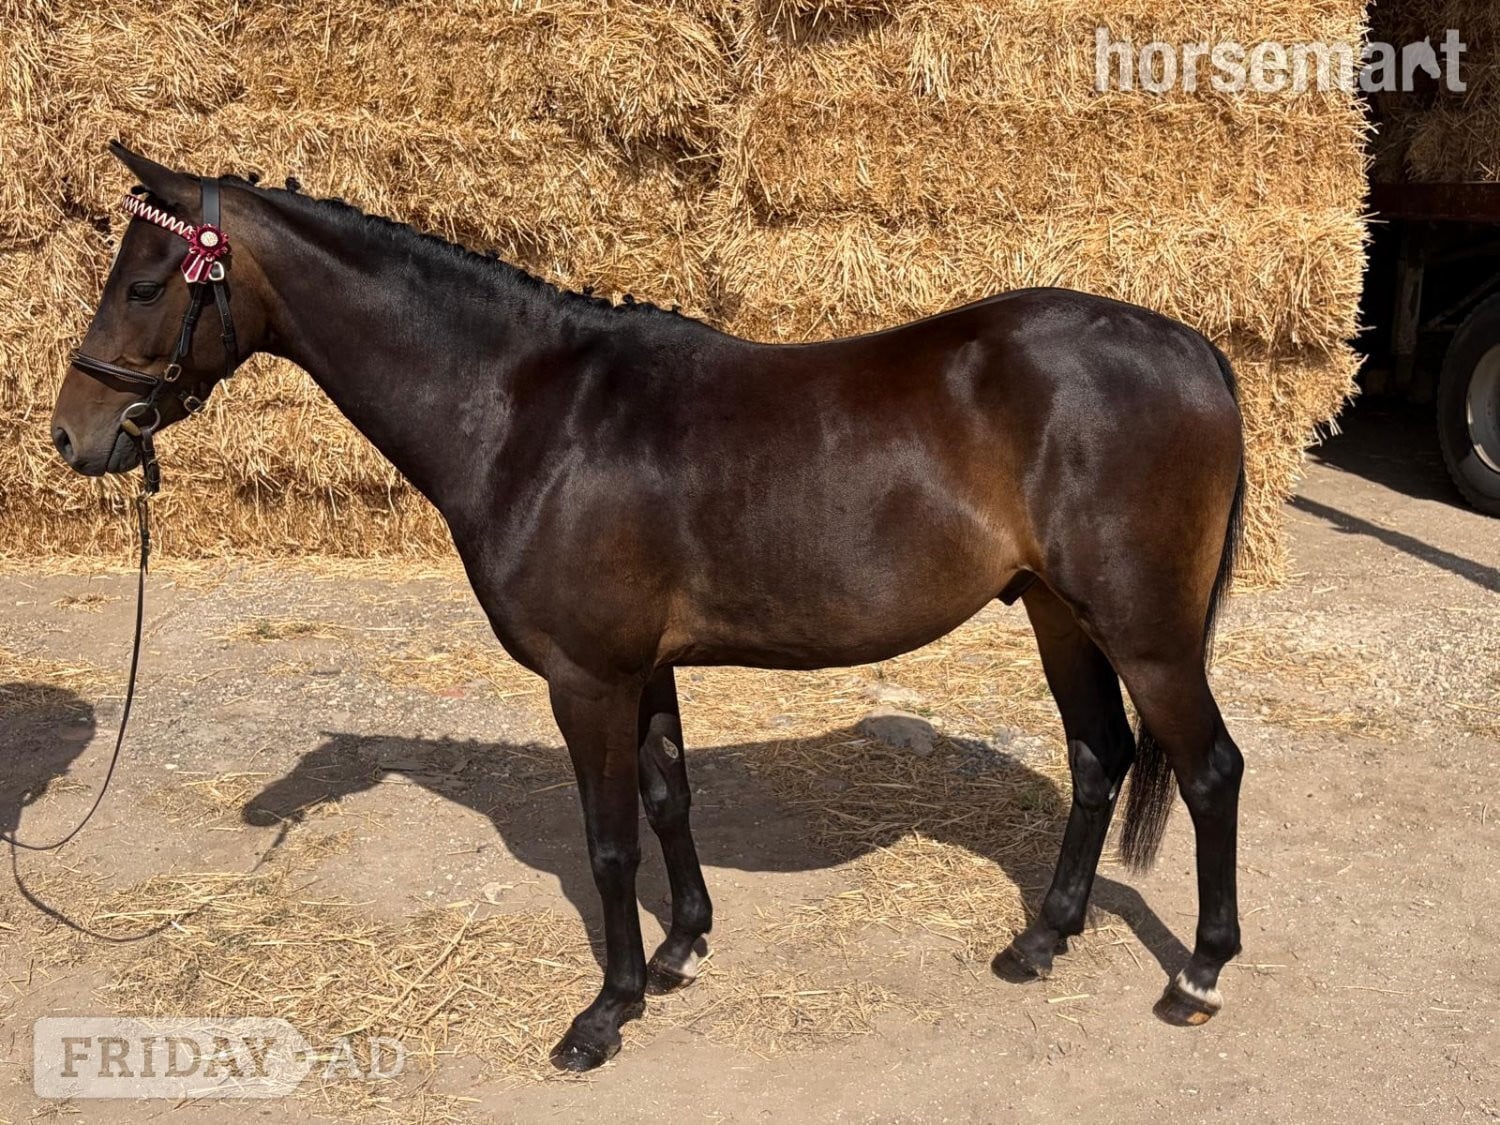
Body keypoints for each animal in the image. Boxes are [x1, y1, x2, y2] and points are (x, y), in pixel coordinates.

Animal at [51, 143, 1247, 1071]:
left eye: (147, 286)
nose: (73, 435)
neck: (528, 410)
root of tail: (1192, 347)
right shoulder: (647, 667)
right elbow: (670, 801)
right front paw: (680, 951)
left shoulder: (589, 677)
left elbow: (609, 839)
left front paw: (605, 1011)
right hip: (1058, 613)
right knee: (1097, 757)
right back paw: (1042, 941)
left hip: (1147, 636)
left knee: (1209, 771)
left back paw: (1198, 974)